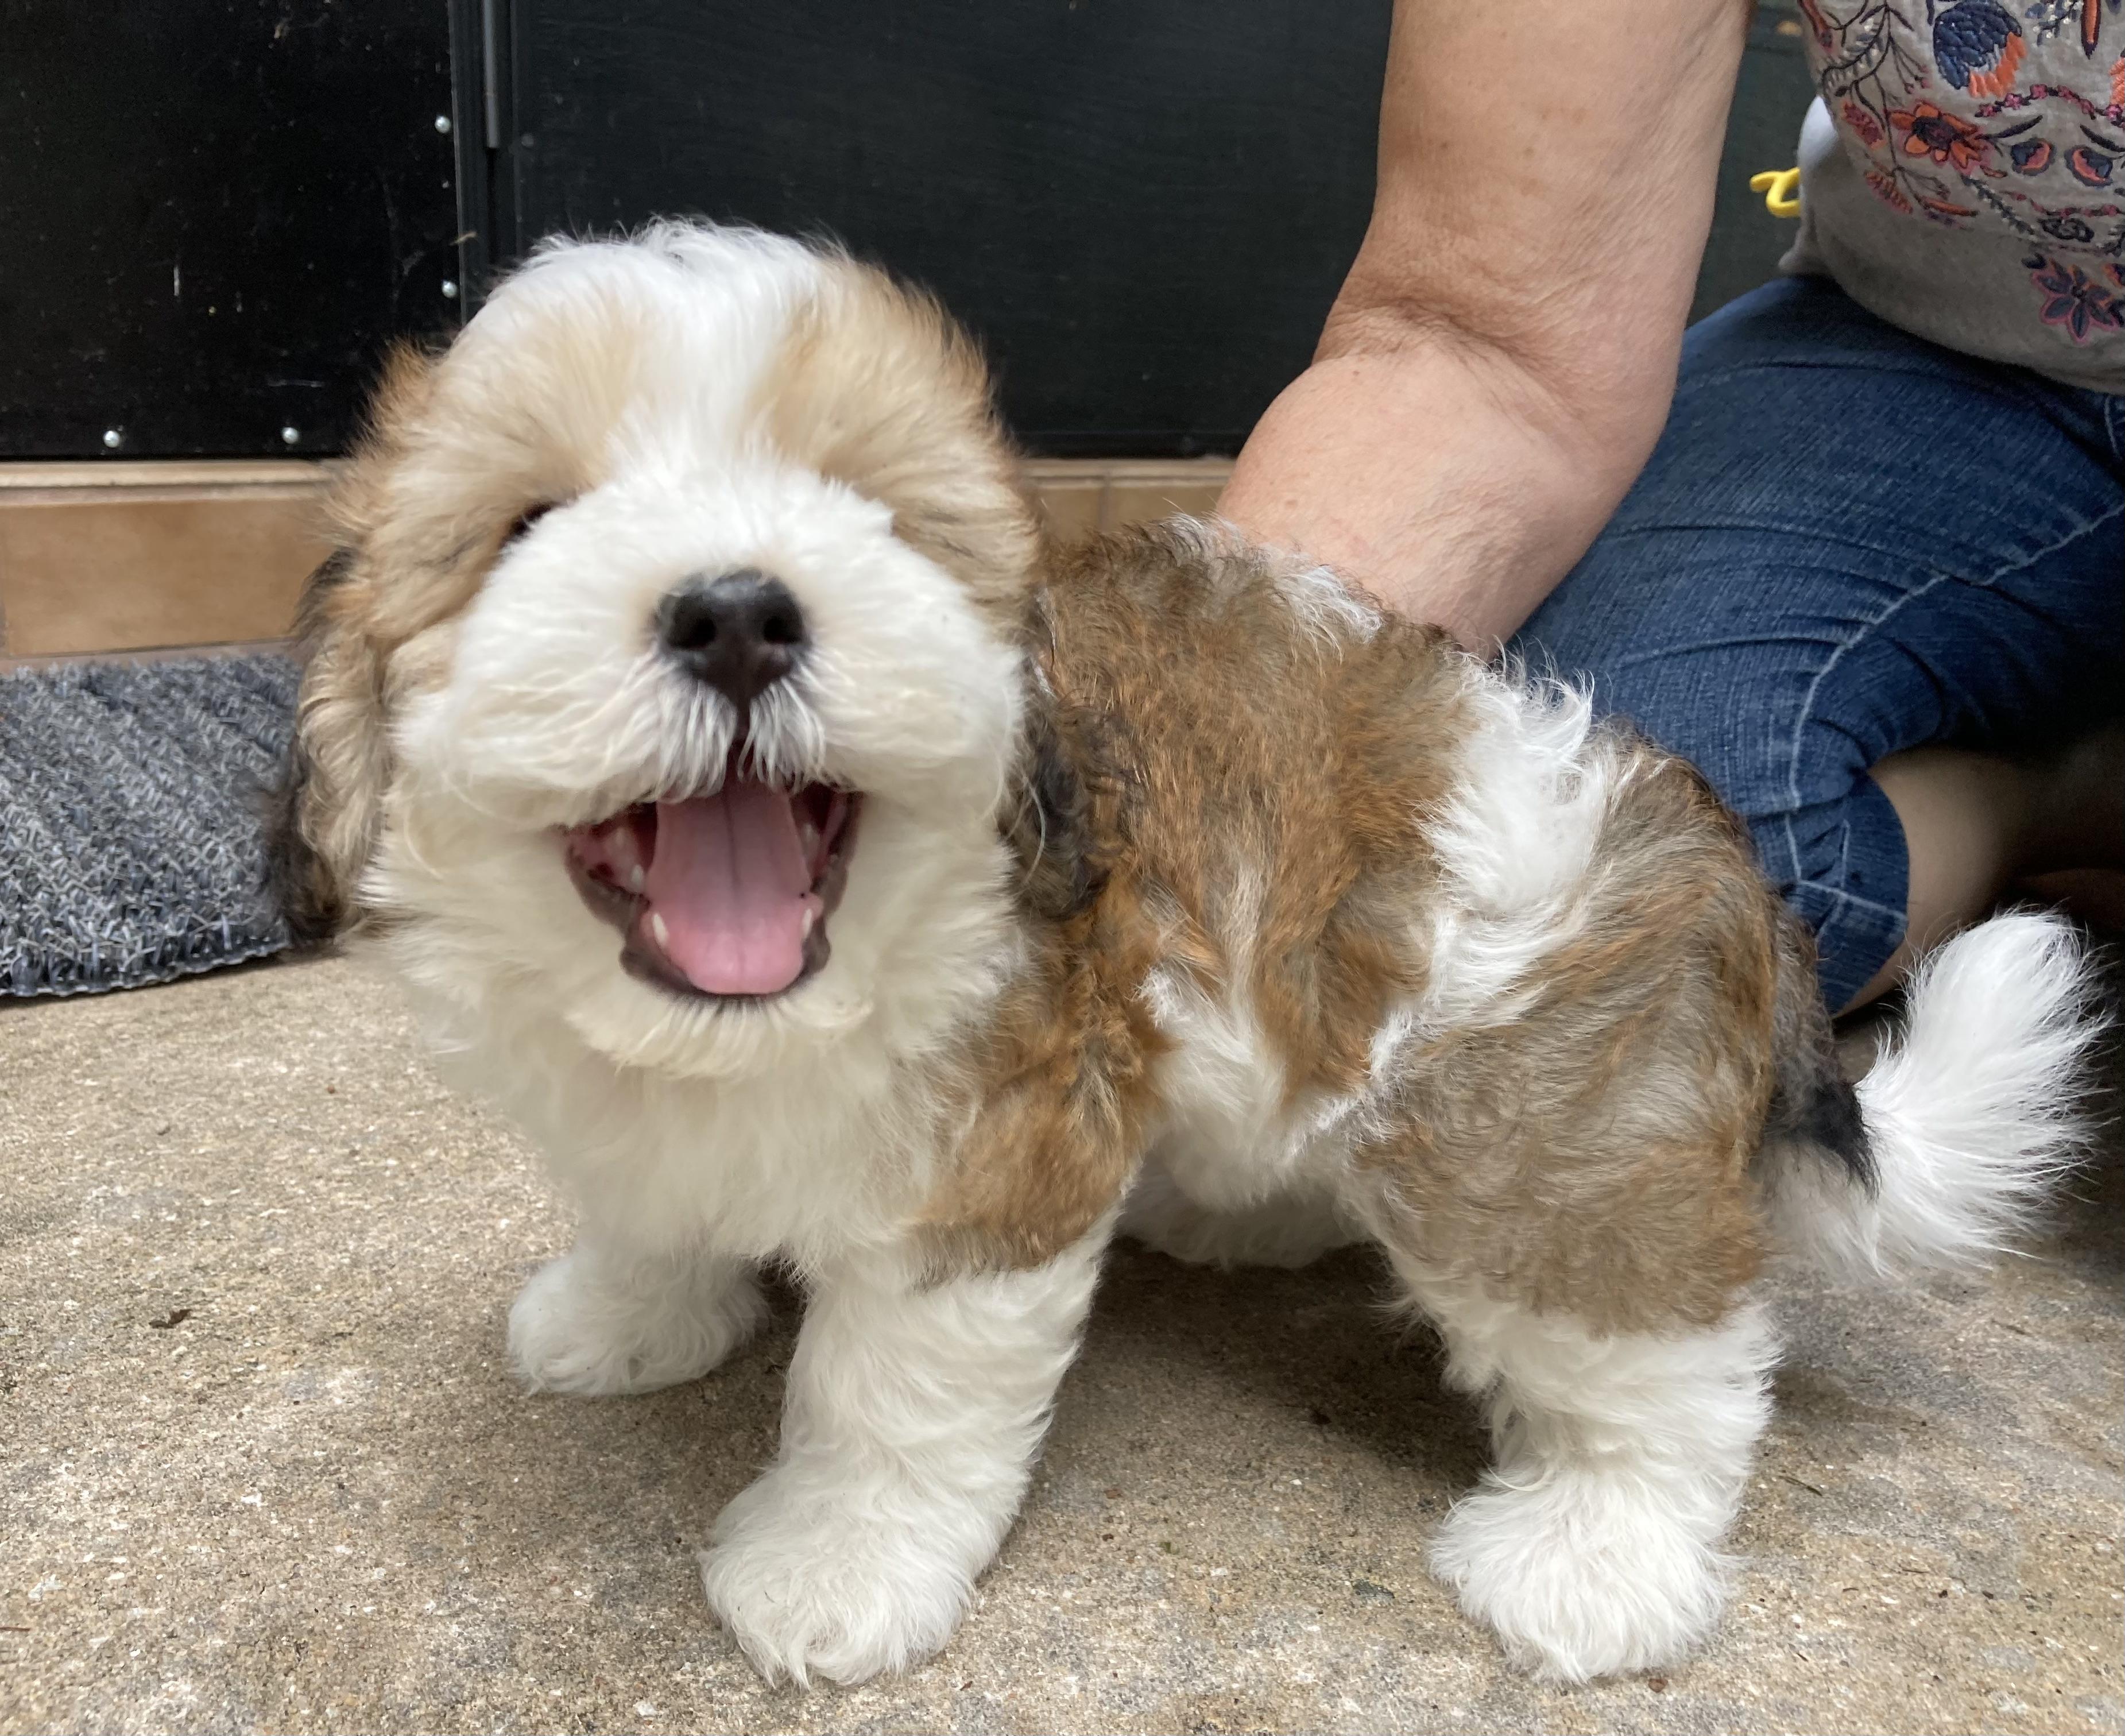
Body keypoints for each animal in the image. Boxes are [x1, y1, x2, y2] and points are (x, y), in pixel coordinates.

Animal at [268, 222, 2096, 1687]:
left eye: (876, 516)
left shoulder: (998, 1163)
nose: (735, 609)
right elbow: (647, 1202)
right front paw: (630, 1307)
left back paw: (1598, 1558)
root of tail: (1722, 872)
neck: (774, 1008)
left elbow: (888, 1394)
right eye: (529, 522)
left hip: (1537, 1141)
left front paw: (837, 1561)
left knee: (1670, 1356)